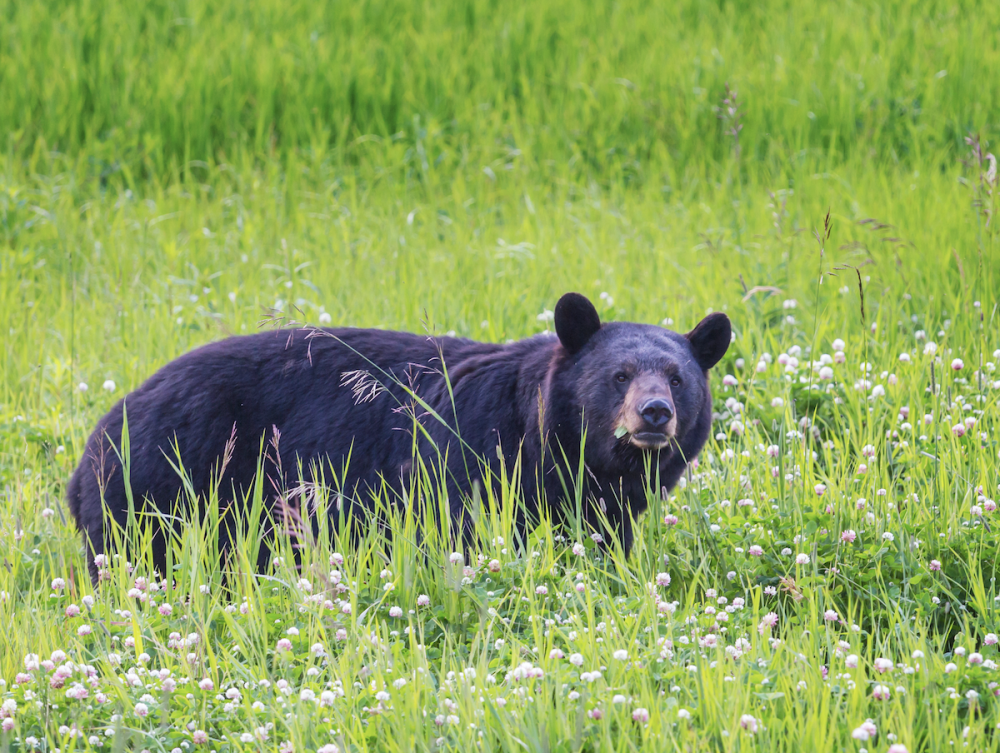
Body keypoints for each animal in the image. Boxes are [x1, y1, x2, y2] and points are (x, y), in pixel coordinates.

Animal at [66, 290, 732, 580]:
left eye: (677, 377)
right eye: (619, 375)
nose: (654, 413)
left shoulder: (602, 505)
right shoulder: (469, 462)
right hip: (163, 483)